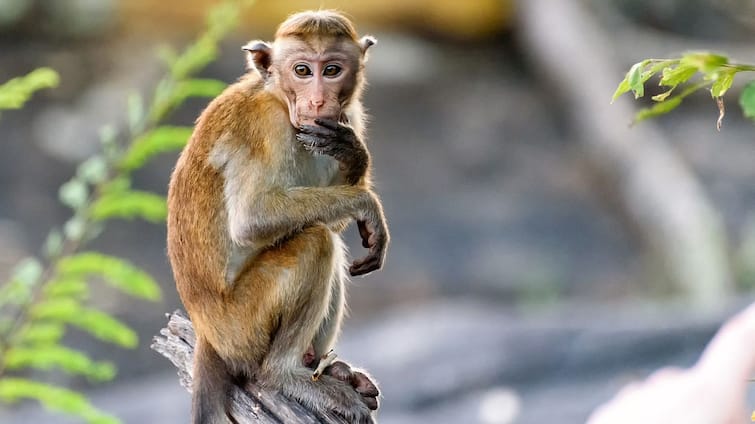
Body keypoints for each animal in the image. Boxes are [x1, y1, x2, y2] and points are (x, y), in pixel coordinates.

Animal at [166, 8, 390, 422]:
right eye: (302, 70)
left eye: (331, 70)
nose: (317, 101)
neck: (279, 98)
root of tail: (207, 335)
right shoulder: (264, 127)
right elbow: (252, 219)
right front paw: (368, 204)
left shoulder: (346, 117)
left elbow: (336, 217)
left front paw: (354, 155)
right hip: (242, 328)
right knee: (316, 242)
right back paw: (286, 375)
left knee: (322, 234)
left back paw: (326, 367)